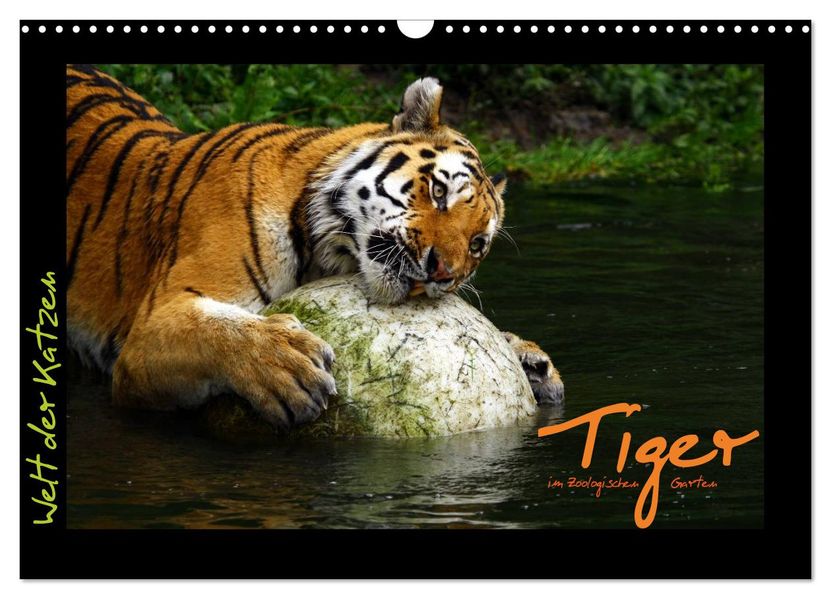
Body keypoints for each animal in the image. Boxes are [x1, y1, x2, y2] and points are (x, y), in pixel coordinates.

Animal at [66, 64, 564, 433]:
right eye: (439, 192)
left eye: (478, 244)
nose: (442, 272)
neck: (325, 250)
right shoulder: (148, 330)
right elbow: (214, 328)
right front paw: (286, 366)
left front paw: (530, 361)